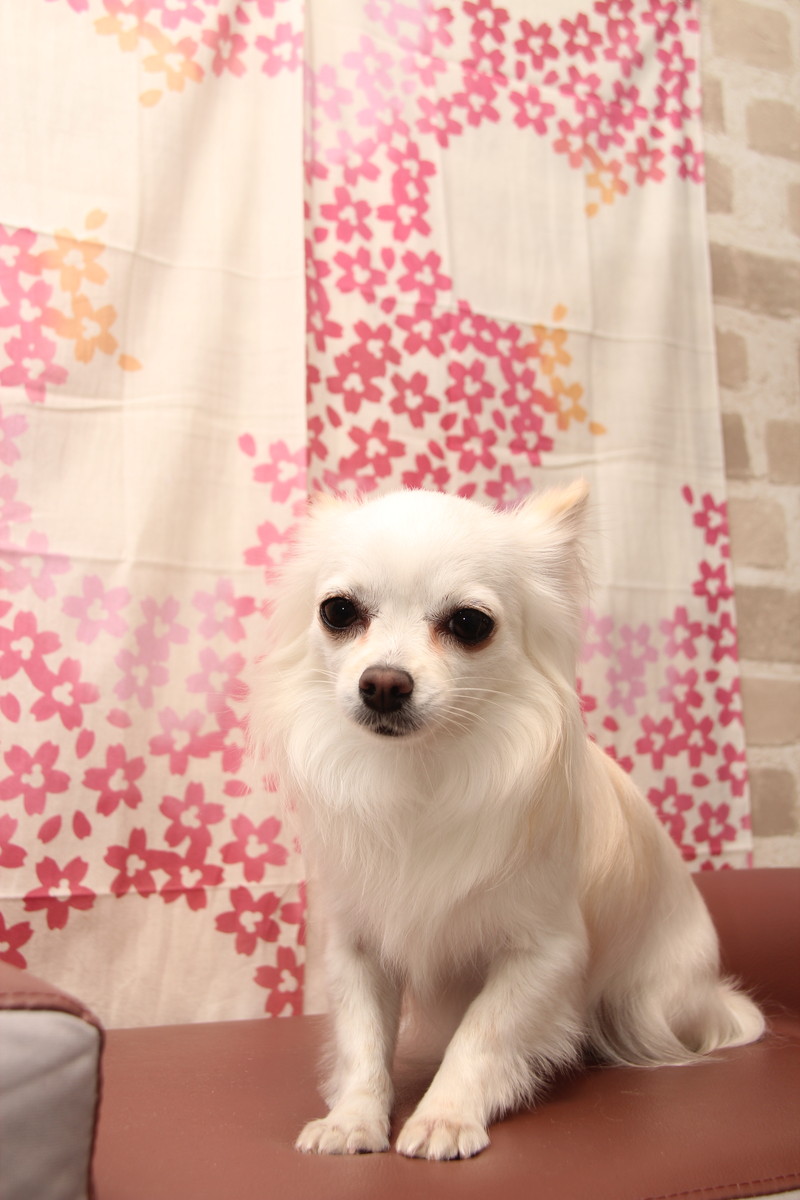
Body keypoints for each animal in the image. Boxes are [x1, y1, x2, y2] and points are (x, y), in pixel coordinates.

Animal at [247, 483, 764, 1160]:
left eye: (469, 624)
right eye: (338, 612)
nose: (383, 683)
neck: (421, 773)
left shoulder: (543, 955)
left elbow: (482, 1033)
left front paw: (443, 1117)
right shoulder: (355, 947)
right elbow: (364, 1039)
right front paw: (353, 1118)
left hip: (654, 999)